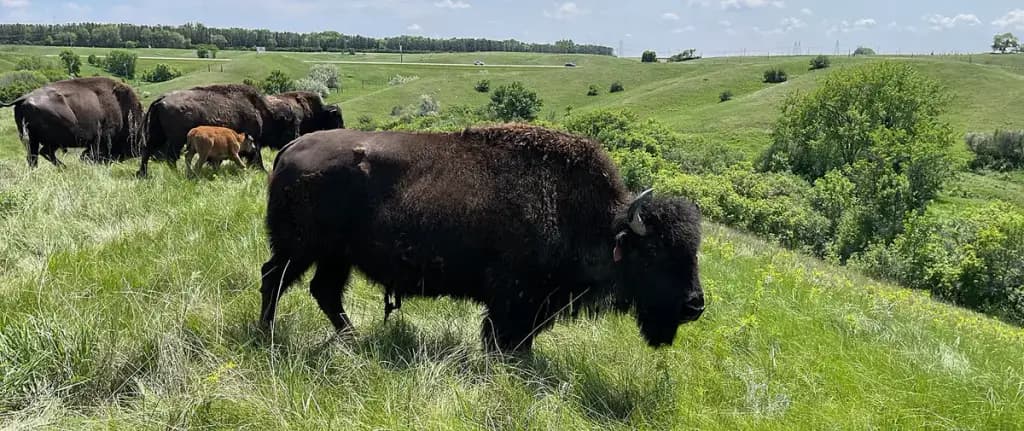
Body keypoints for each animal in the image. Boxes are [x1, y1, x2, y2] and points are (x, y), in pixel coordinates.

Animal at [4, 77, 143, 168]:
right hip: (55, 139)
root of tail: (25, 98)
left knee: (35, 157)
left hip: (33, 140)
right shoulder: (101, 140)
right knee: (44, 153)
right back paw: (65, 168)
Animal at [260, 125, 704, 353]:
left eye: (693, 251)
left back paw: (352, 338)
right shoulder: (513, 298)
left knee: (324, 291)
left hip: (335, 255)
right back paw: (267, 334)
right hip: (299, 248)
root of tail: (290, 147)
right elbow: (503, 336)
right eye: (654, 253)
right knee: (274, 279)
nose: (695, 305)